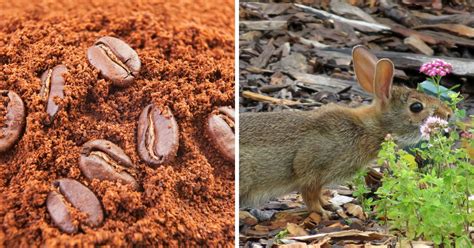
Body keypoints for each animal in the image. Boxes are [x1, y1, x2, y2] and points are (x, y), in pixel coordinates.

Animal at [241, 45, 452, 216]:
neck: (367, 128)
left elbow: (318, 194)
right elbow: (309, 194)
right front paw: (322, 213)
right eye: (416, 107)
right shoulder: (311, 169)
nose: (448, 114)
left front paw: (328, 205)